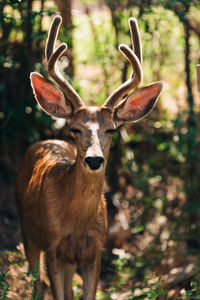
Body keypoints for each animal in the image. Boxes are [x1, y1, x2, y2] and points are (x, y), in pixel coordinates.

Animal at [15, 14, 162, 300]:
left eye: (111, 129)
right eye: (75, 129)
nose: (94, 159)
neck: (77, 224)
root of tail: (42, 142)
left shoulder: (94, 251)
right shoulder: (53, 245)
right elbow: (57, 291)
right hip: (28, 232)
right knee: (37, 283)